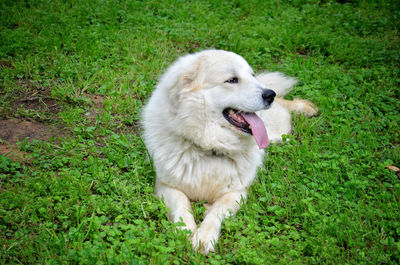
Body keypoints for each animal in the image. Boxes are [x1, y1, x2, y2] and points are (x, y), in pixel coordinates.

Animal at [142, 49, 318, 254]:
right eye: (232, 80)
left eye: (251, 75)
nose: (269, 95)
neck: (209, 147)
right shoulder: (166, 185)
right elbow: (181, 206)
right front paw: (185, 231)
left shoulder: (237, 193)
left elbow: (216, 211)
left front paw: (204, 236)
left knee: (282, 107)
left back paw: (305, 108)